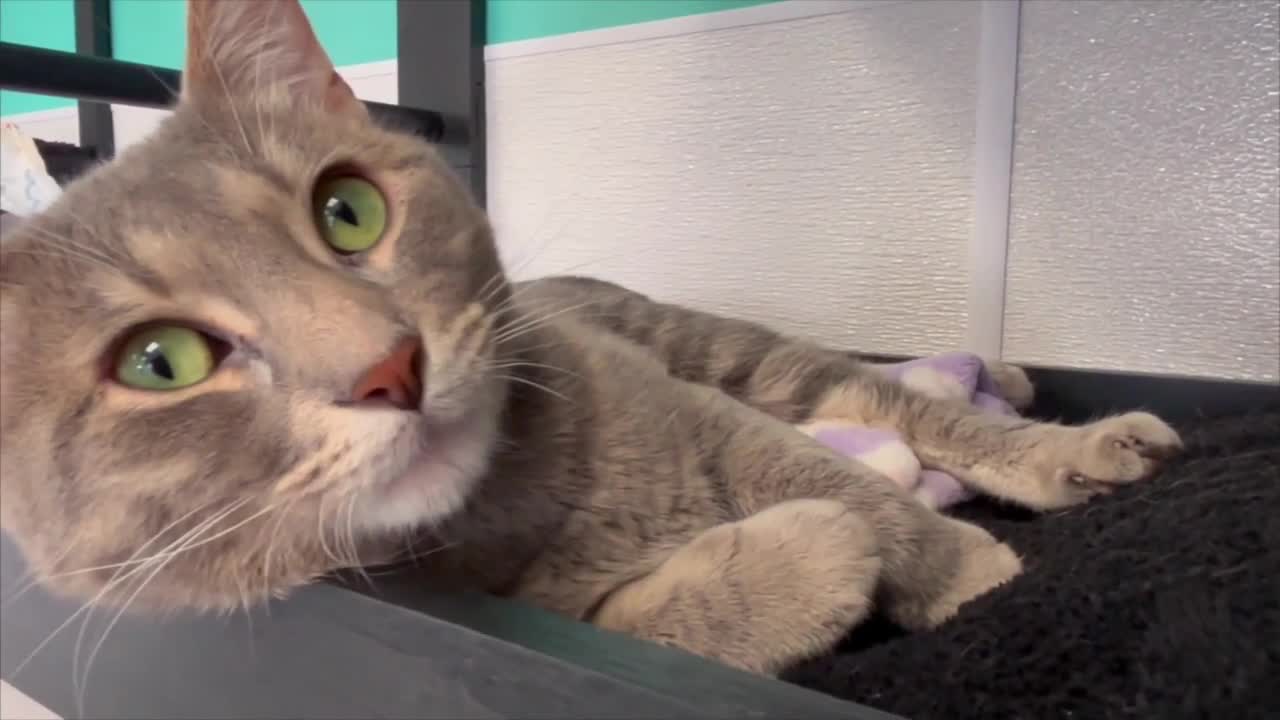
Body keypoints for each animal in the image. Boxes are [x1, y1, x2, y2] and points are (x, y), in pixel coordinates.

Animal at [0, 0, 1183, 676]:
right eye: (161, 362)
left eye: (348, 211)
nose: (388, 366)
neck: (512, 501)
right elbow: (650, 620)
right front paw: (803, 563)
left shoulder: (712, 416)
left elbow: (863, 492)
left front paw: (974, 574)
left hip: (725, 349)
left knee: (876, 393)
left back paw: (1048, 424)